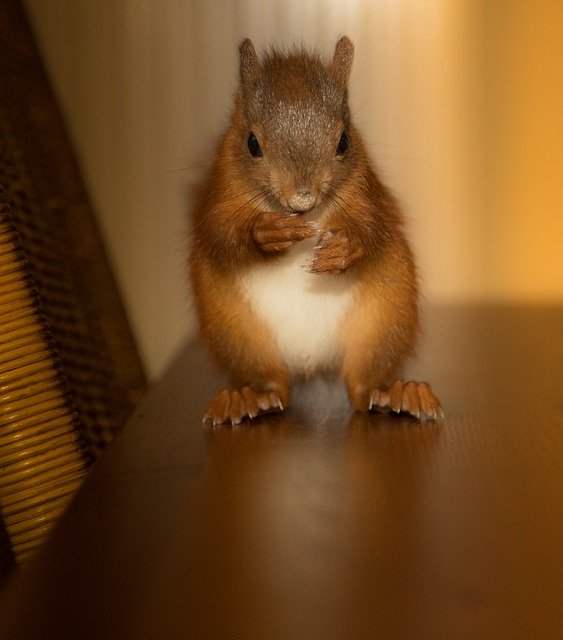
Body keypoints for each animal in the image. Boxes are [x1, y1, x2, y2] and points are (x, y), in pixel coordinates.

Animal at [189, 35, 446, 424]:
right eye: (252, 143)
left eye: (344, 141)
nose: (302, 197)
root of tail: (309, 363)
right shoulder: (217, 194)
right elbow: (220, 231)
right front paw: (267, 232)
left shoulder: (368, 193)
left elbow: (373, 227)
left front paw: (343, 249)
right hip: (236, 332)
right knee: (270, 383)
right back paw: (248, 399)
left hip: (384, 317)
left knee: (365, 384)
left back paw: (397, 393)